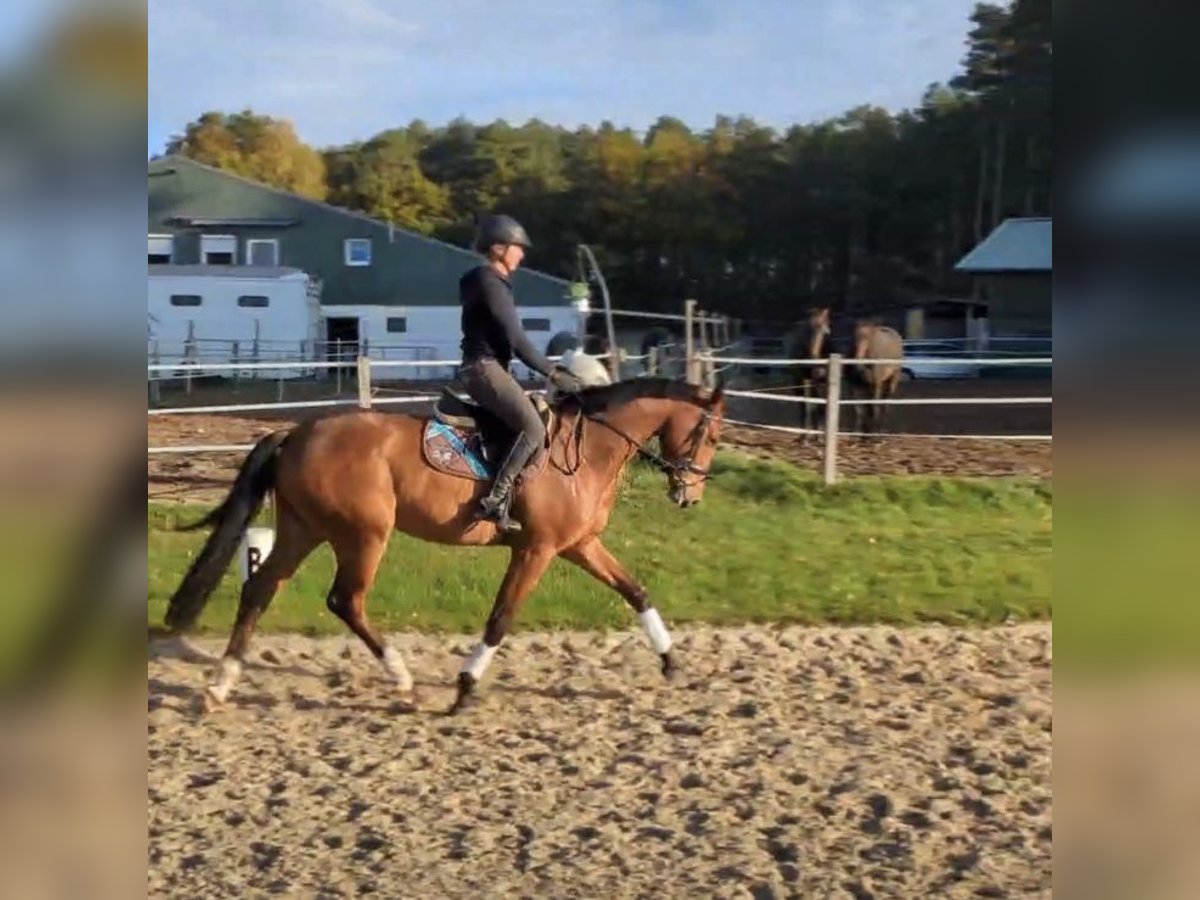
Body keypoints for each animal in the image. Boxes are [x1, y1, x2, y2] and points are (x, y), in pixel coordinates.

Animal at [158, 376, 720, 715]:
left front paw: (671, 663)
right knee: (345, 600)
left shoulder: (579, 544)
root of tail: (296, 433)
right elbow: (500, 619)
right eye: (711, 437)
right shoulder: (536, 550)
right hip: (364, 534)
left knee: (261, 590)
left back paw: (220, 685)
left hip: (304, 528)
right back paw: (402, 679)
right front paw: (465, 687)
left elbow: (636, 591)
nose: (690, 495)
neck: (585, 451)